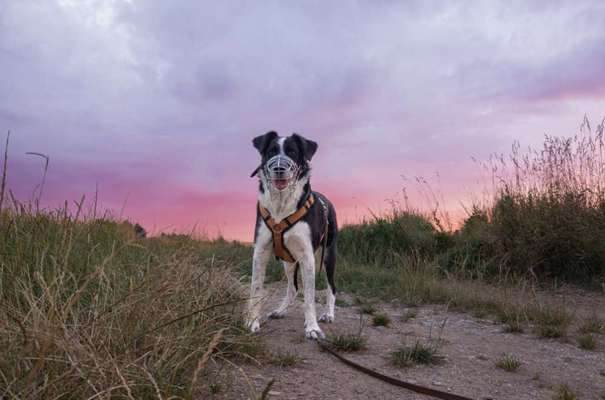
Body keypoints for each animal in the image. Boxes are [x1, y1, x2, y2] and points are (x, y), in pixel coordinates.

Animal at [247, 132, 340, 340]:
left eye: (292, 152)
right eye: (271, 151)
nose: (279, 168)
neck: (281, 206)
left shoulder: (307, 257)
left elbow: (310, 296)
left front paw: (312, 327)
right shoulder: (260, 252)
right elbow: (256, 288)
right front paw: (252, 321)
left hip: (328, 256)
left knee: (331, 287)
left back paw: (329, 314)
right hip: (288, 261)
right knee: (293, 287)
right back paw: (280, 310)